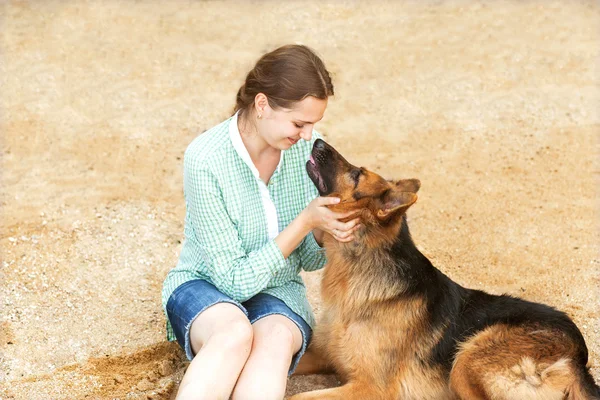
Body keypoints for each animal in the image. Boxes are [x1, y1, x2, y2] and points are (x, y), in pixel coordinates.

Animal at [290, 139, 596, 398]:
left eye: (356, 174)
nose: (317, 141)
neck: (357, 267)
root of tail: (578, 356)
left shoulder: (369, 388)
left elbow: (297, 396)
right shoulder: (318, 354)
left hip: (466, 361)